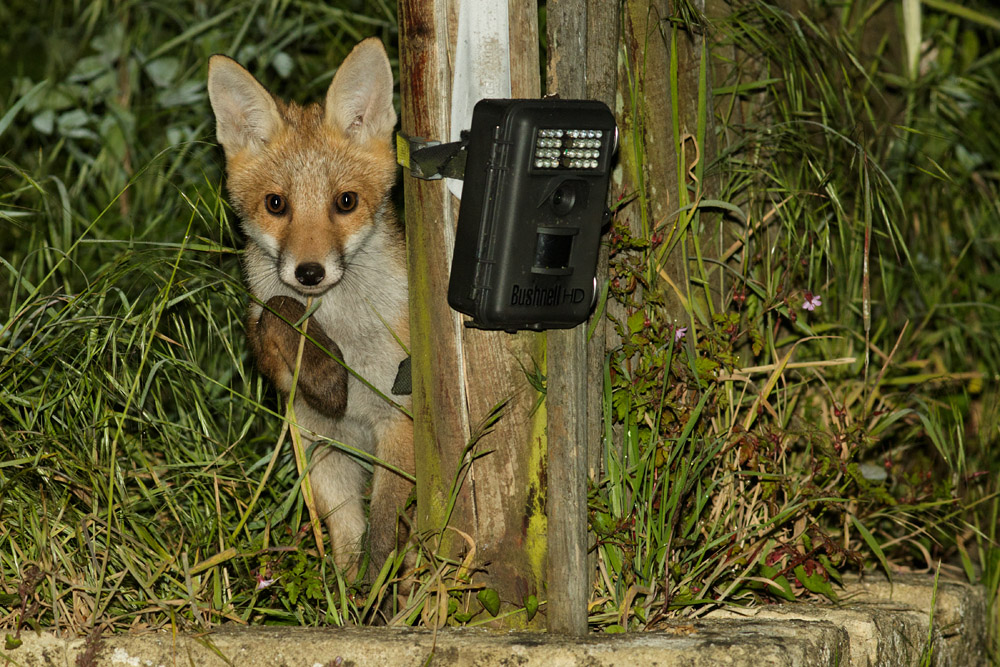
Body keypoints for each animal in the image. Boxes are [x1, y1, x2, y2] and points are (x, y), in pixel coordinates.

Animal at [207, 39, 412, 578]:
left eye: (346, 201)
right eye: (276, 204)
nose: (310, 273)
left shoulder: (400, 421)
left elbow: (383, 530)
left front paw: (380, 593)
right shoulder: (313, 431)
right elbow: (274, 312)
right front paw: (326, 375)